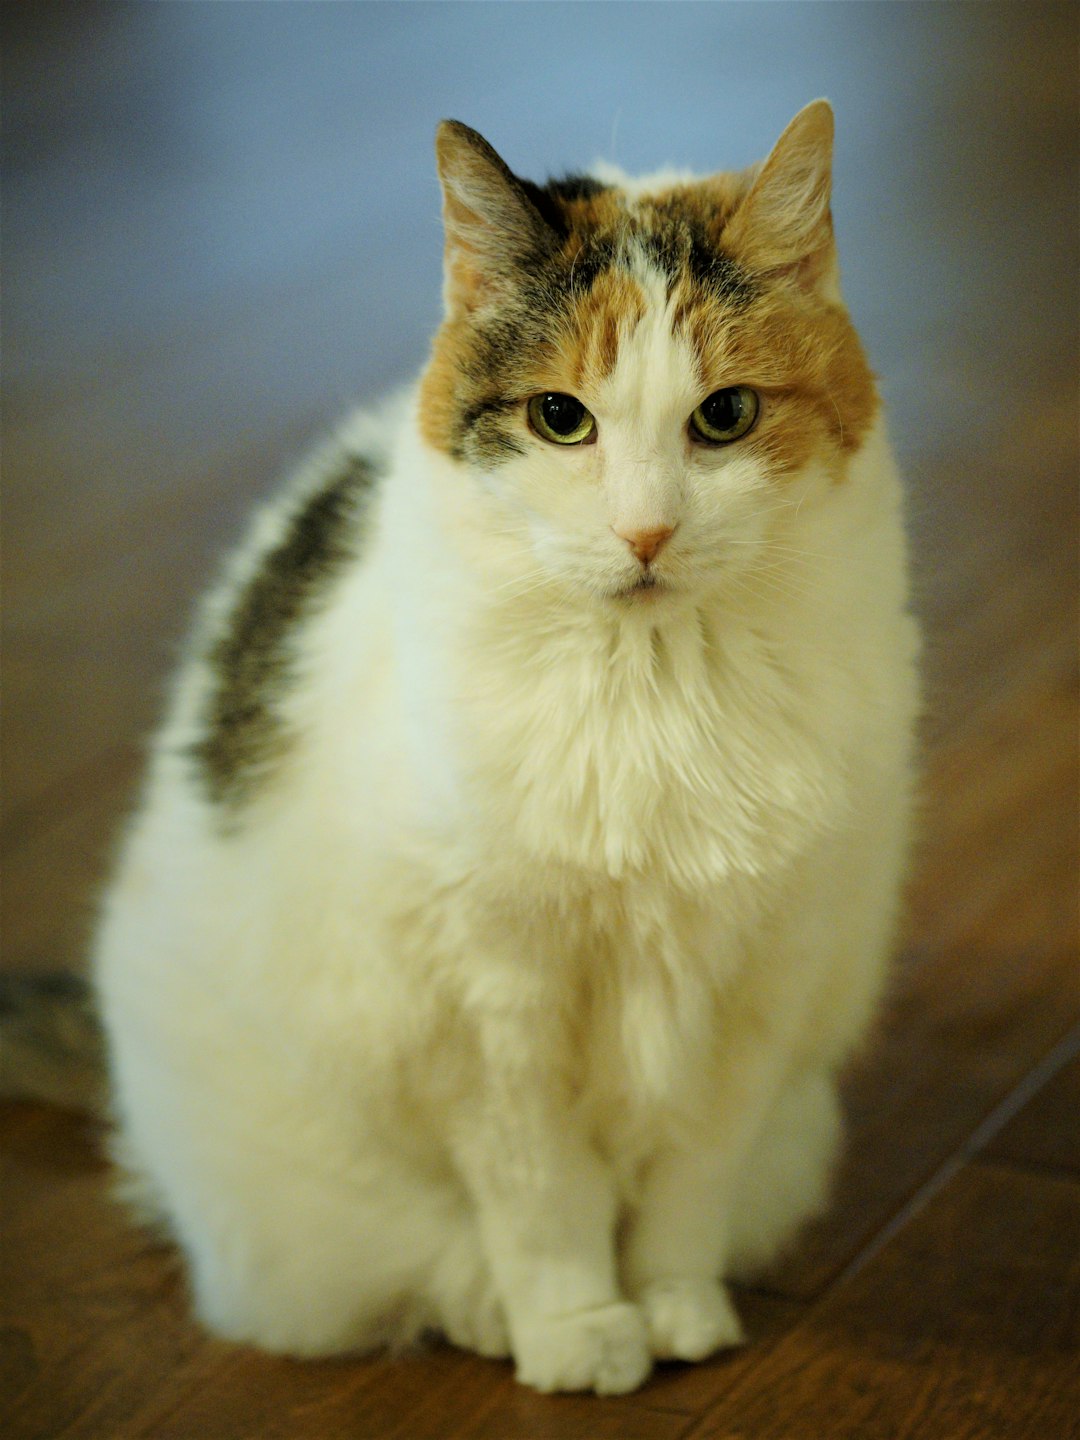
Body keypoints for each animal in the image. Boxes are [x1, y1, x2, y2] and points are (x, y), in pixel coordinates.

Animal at [92, 101, 921, 1393]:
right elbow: (543, 1201)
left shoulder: (754, 994)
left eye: (725, 415)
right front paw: (580, 1332)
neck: (652, 691)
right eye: (560, 419)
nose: (645, 532)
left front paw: (675, 1307)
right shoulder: (494, 1018)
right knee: (425, 1257)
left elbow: (687, 1185)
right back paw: (493, 1311)